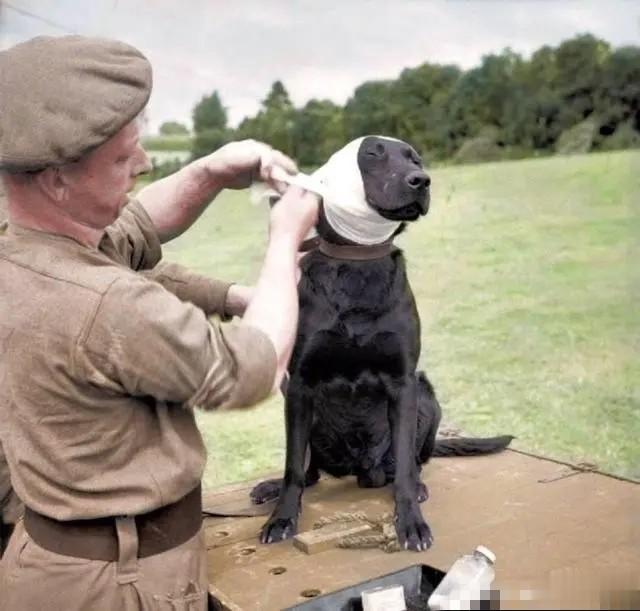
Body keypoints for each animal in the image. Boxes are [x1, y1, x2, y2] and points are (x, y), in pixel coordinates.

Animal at [252, 137, 512, 548]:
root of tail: (360, 469)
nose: (422, 180)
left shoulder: (403, 381)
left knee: (410, 463)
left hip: (425, 392)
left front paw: (411, 522)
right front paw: (281, 518)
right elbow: (293, 465)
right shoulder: (300, 384)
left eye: (415, 159)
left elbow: (405, 466)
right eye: (371, 154)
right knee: (309, 472)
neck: (359, 265)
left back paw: (415, 485)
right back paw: (273, 487)